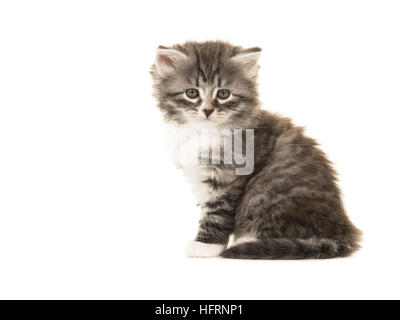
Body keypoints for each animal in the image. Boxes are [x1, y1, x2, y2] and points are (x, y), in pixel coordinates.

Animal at [151, 40, 362, 260]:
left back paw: (248, 241)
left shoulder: (228, 176)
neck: (204, 132)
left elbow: (217, 212)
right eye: (192, 93)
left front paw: (206, 245)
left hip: (266, 193)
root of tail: (343, 230)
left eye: (223, 93)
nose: (208, 111)